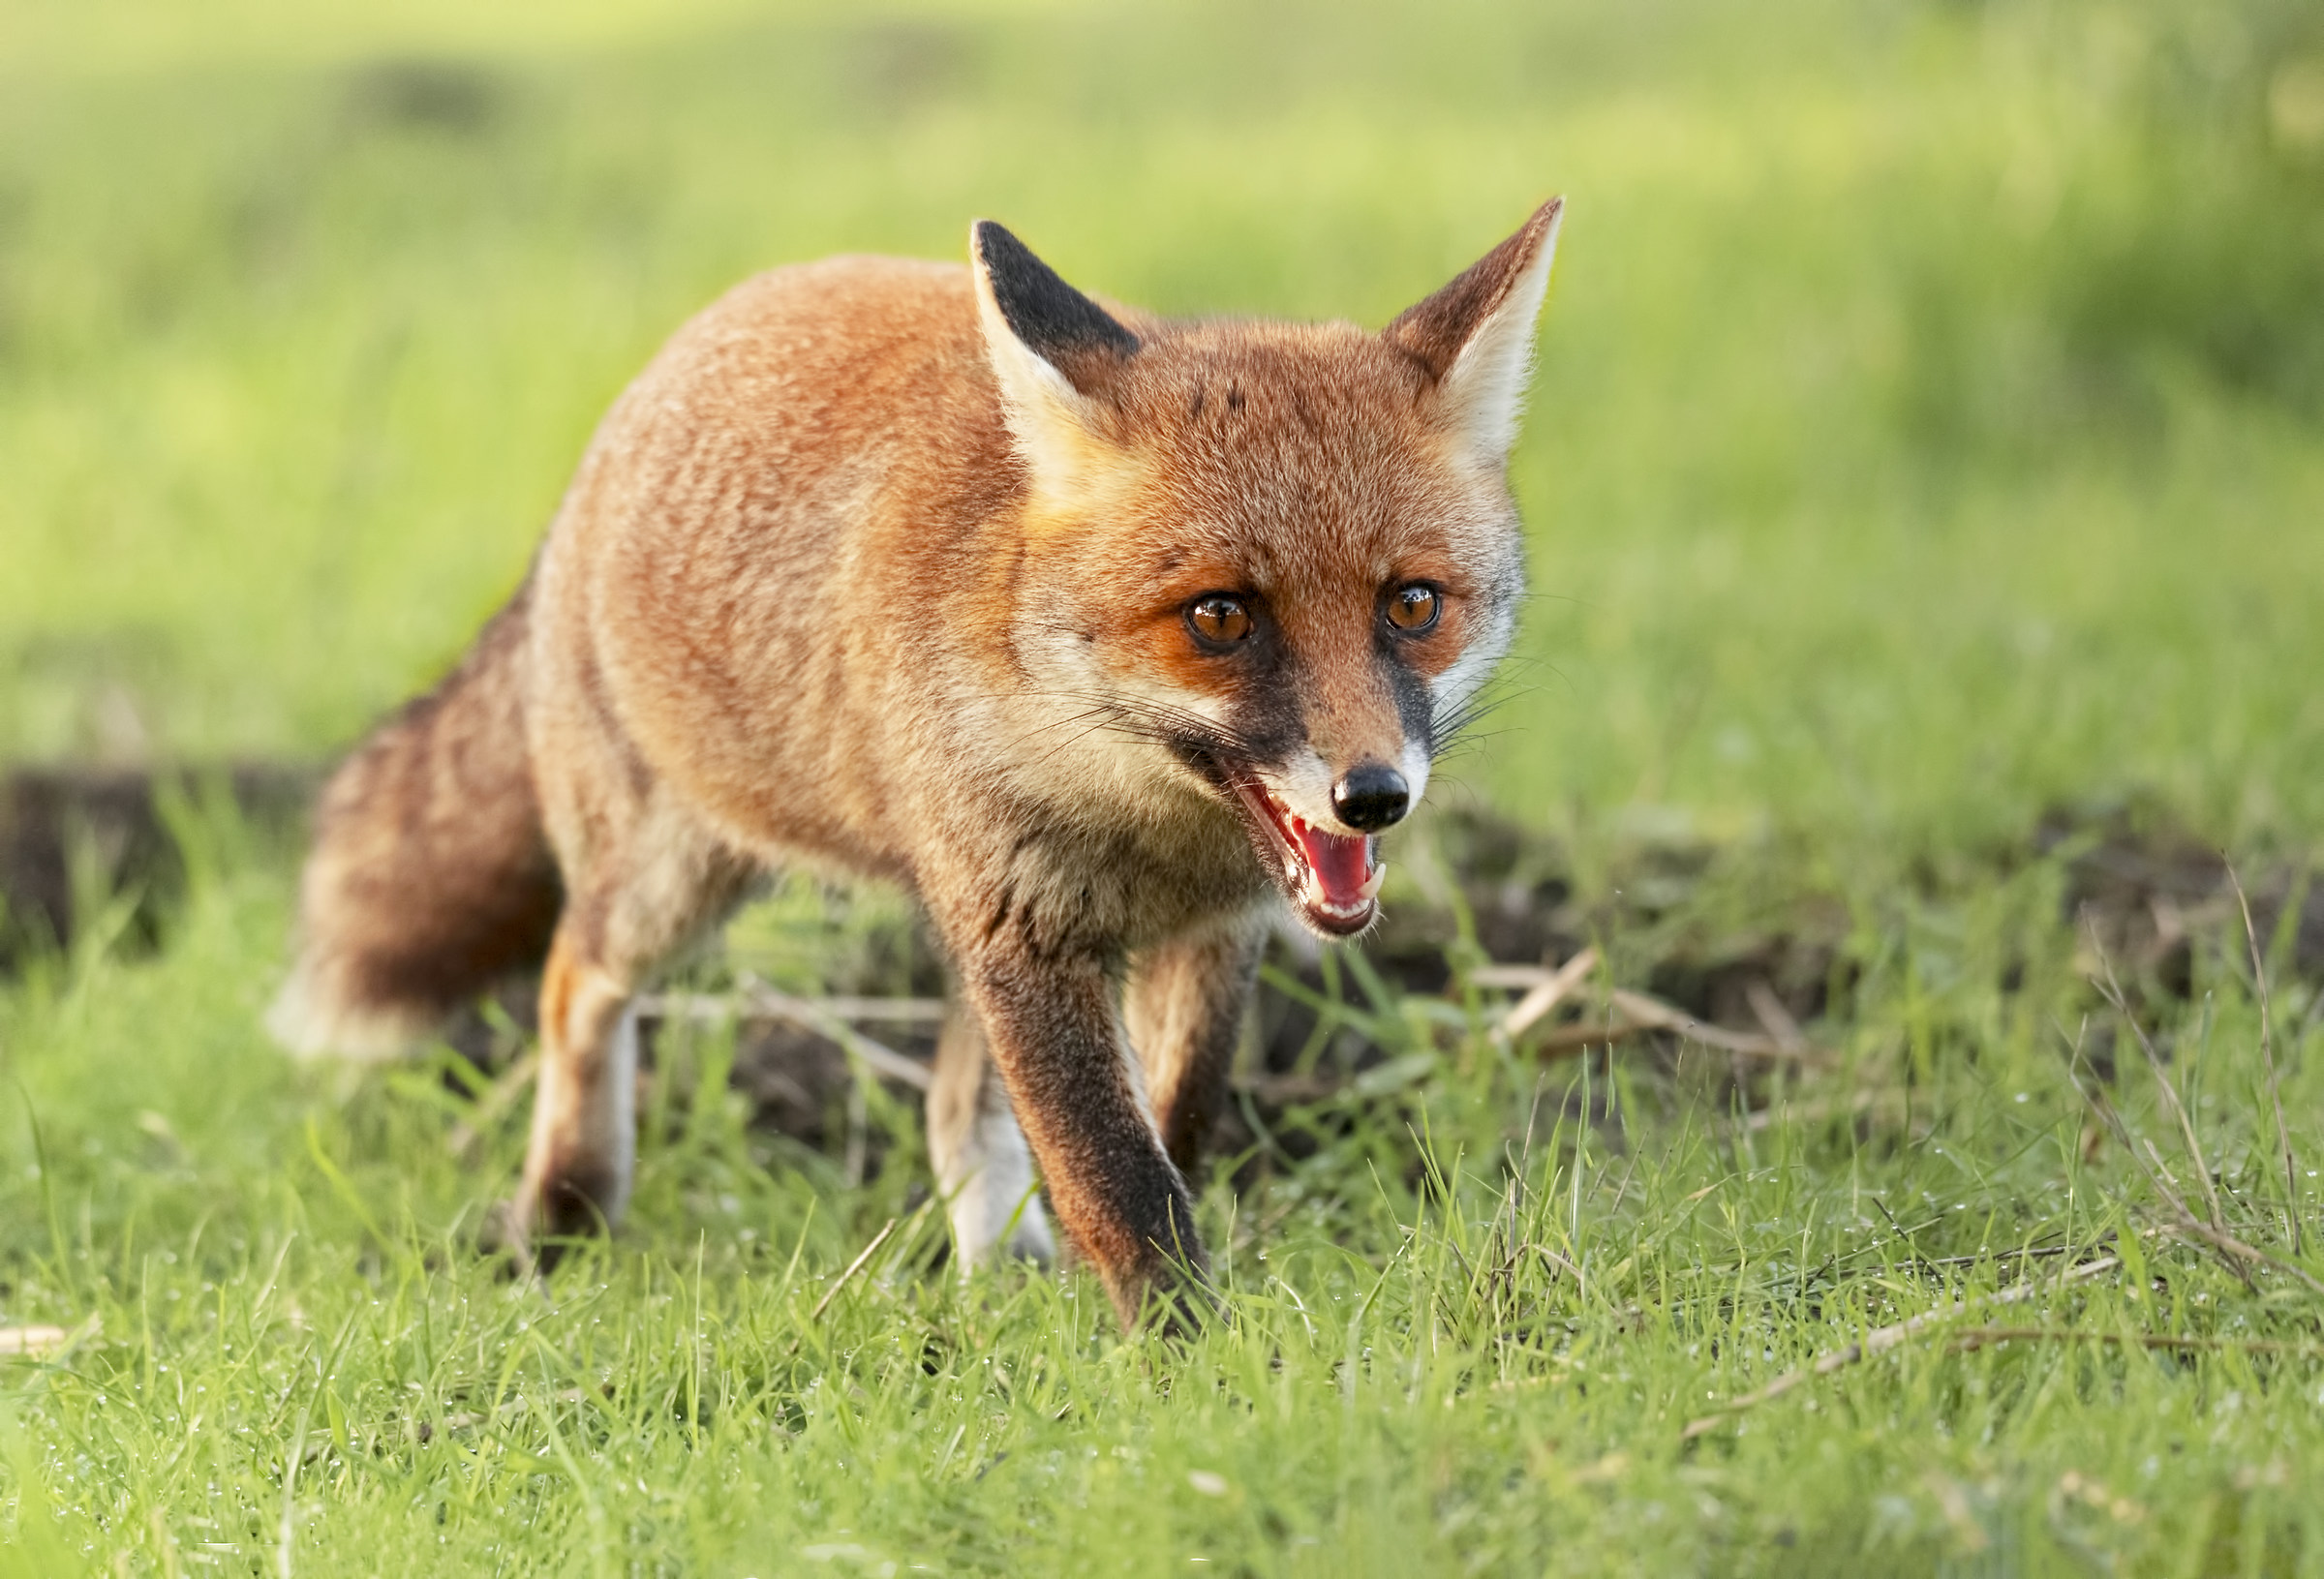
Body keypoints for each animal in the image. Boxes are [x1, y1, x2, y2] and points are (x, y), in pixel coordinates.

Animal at [270, 198, 1564, 1331]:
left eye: (1412, 605)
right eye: (1220, 617)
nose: (1373, 795)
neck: (1143, 820)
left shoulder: (1202, 934)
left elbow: (1174, 1131)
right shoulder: (1025, 935)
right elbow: (1120, 1181)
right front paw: (1187, 1361)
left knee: (949, 1107)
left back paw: (998, 1276)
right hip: (667, 882)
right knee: (571, 980)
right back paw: (563, 1213)